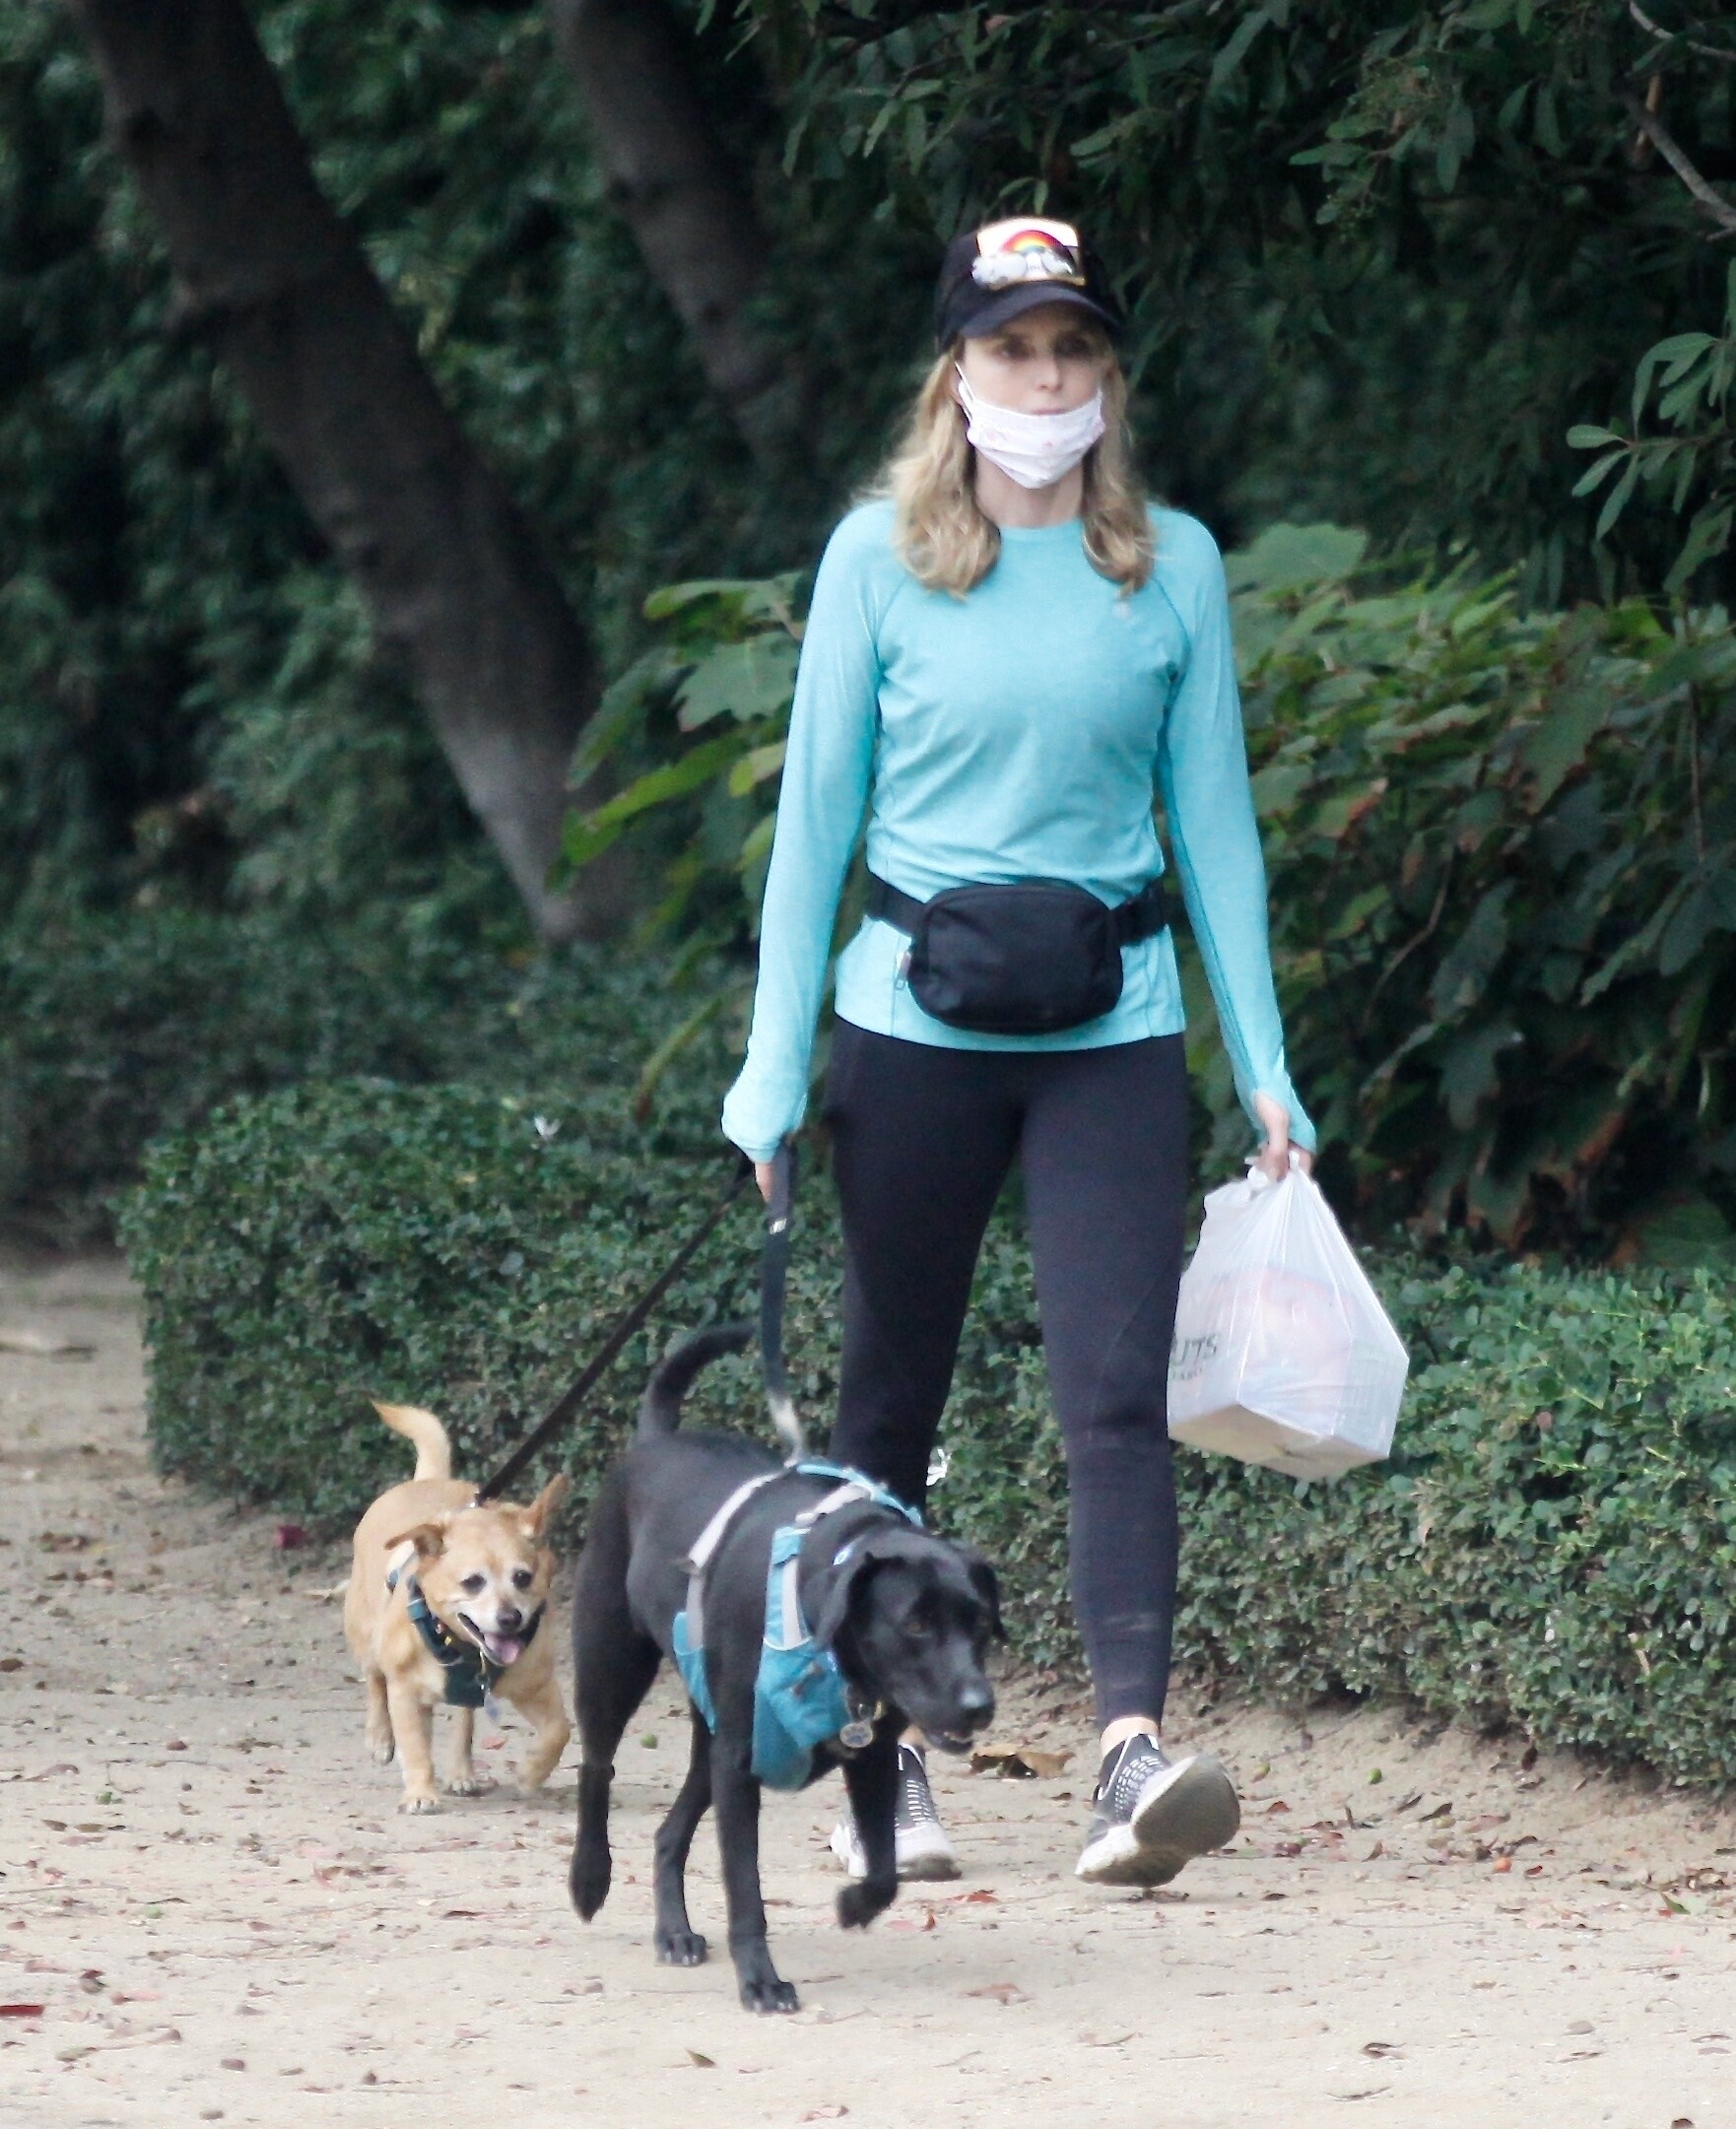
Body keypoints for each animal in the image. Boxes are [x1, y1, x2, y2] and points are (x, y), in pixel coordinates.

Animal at [344, 1400, 571, 1813]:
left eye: (523, 1577)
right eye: (472, 1582)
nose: (510, 1618)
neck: (465, 1650)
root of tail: (425, 1481)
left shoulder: (536, 1687)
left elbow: (558, 1731)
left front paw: (531, 1772)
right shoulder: (406, 1693)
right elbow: (415, 1745)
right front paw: (420, 1792)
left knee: (465, 1720)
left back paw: (461, 1772)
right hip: (366, 1635)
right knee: (374, 1681)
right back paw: (380, 1738)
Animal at [568, 1325, 1001, 2013]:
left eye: (980, 1623)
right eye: (915, 1624)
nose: (977, 1705)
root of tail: (656, 1439)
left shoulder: (869, 1757)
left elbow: (884, 1869)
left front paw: (855, 1905)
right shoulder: (740, 1766)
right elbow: (745, 1886)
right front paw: (760, 1980)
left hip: (711, 1736)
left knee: (668, 1832)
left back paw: (674, 1932)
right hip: (616, 1665)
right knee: (595, 1766)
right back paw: (589, 1878)